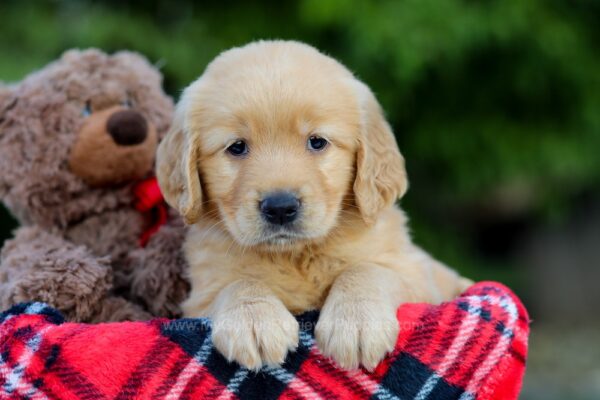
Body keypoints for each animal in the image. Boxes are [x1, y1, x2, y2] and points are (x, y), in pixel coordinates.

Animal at [156, 40, 474, 372]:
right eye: (237, 147)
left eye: (317, 142)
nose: (280, 207)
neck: (295, 255)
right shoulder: (201, 296)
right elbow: (237, 284)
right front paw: (254, 320)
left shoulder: (416, 273)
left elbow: (367, 269)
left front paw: (355, 322)